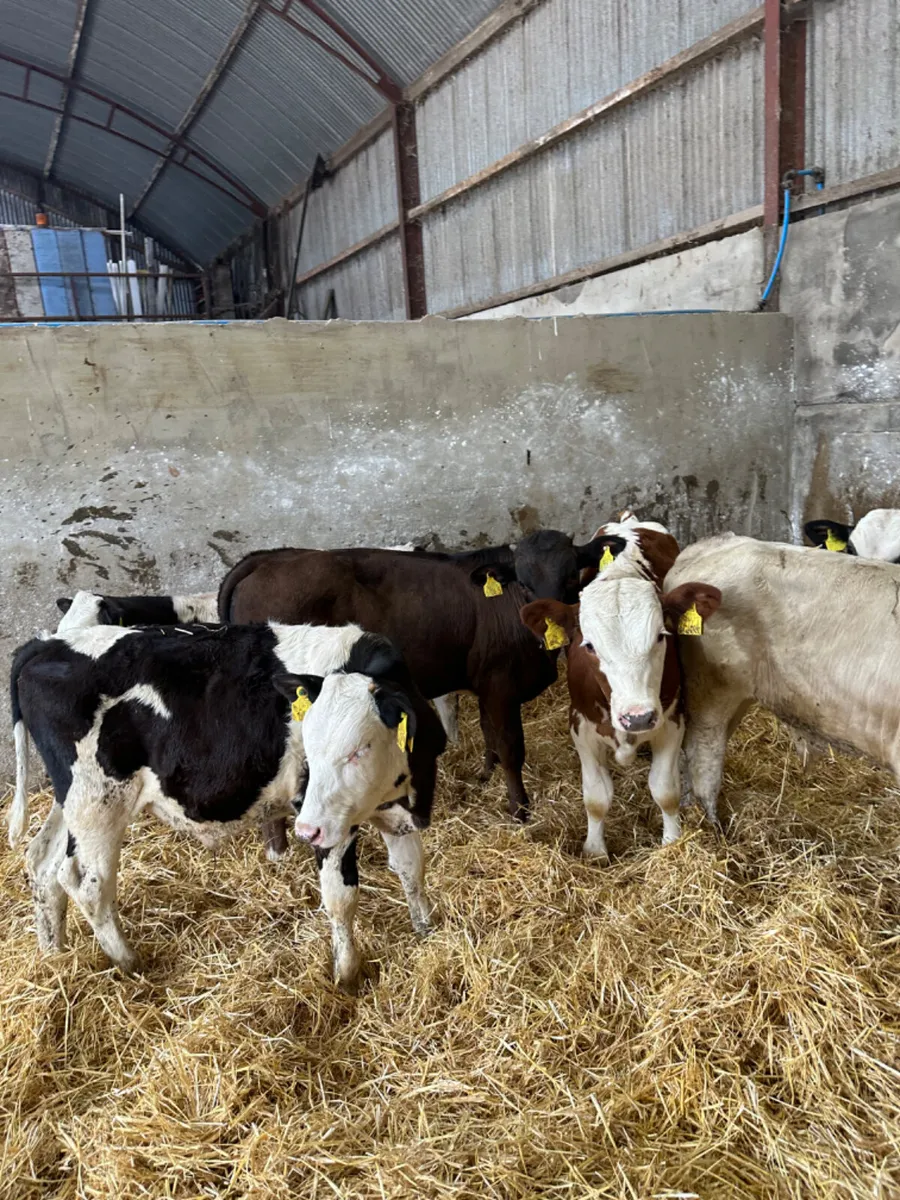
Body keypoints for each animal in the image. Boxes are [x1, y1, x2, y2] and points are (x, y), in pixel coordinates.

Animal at [10, 623, 446, 992]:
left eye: (361, 749)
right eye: (311, 746)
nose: (306, 830)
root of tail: (45, 644)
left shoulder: (392, 812)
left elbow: (411, 868)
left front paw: (427, 930)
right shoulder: (327, 822)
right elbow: (341, 897)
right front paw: (347, 976)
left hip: (70, 802)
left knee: (42, 864)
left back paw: (54, 955)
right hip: (98, 803)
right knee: (87, 884)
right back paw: (130, 964)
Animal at [216, 533, 615, 825]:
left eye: (571, 576)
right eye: (525, 583)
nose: (550, 623)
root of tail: (270, 558)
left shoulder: (485, 683)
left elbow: (488, 733)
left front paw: (486, 775)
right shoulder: (500, 684)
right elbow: (510, 746)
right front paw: (520, 810)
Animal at [520, 522, 721, 861]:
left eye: (661, 636)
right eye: (589, 645)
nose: (637, 717)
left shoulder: (672, 720)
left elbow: (665, 790)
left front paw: (671, 841)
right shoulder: (581, 726)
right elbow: (596, 797)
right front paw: (595, 851)